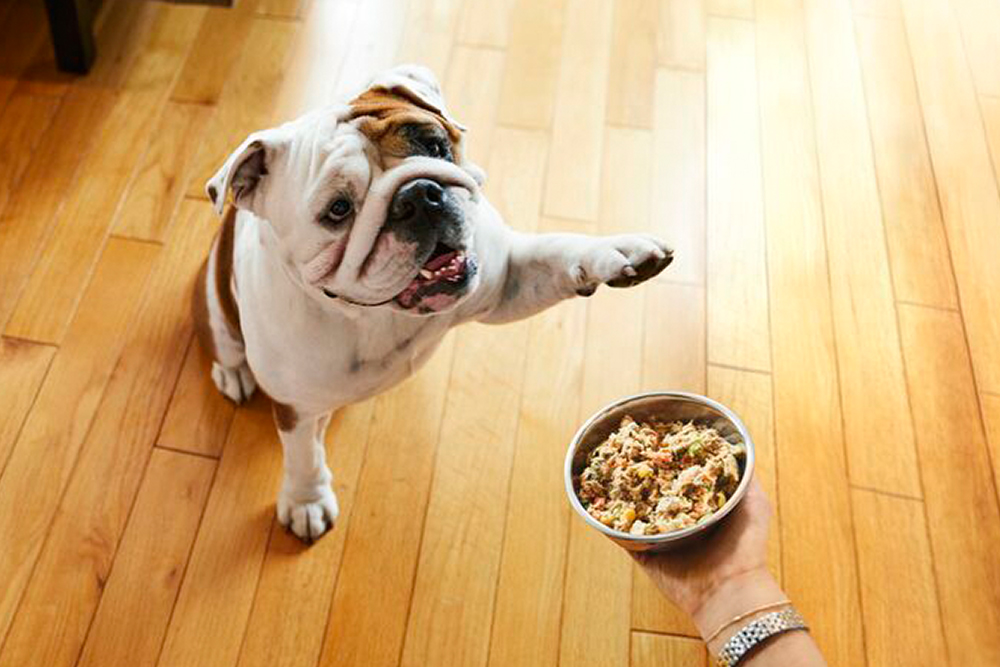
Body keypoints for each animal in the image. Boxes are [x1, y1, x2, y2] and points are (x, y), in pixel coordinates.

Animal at [191, 64, 676, 544]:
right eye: (338, 210)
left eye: (435, 145)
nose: (418, 195)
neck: (376, 315)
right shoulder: (296, 408)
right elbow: (302, 456)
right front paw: (305, 501)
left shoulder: (507, 278)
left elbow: (560, 252)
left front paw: (618, 252)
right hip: (216, 311)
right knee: (225, 347)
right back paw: (233, 374)